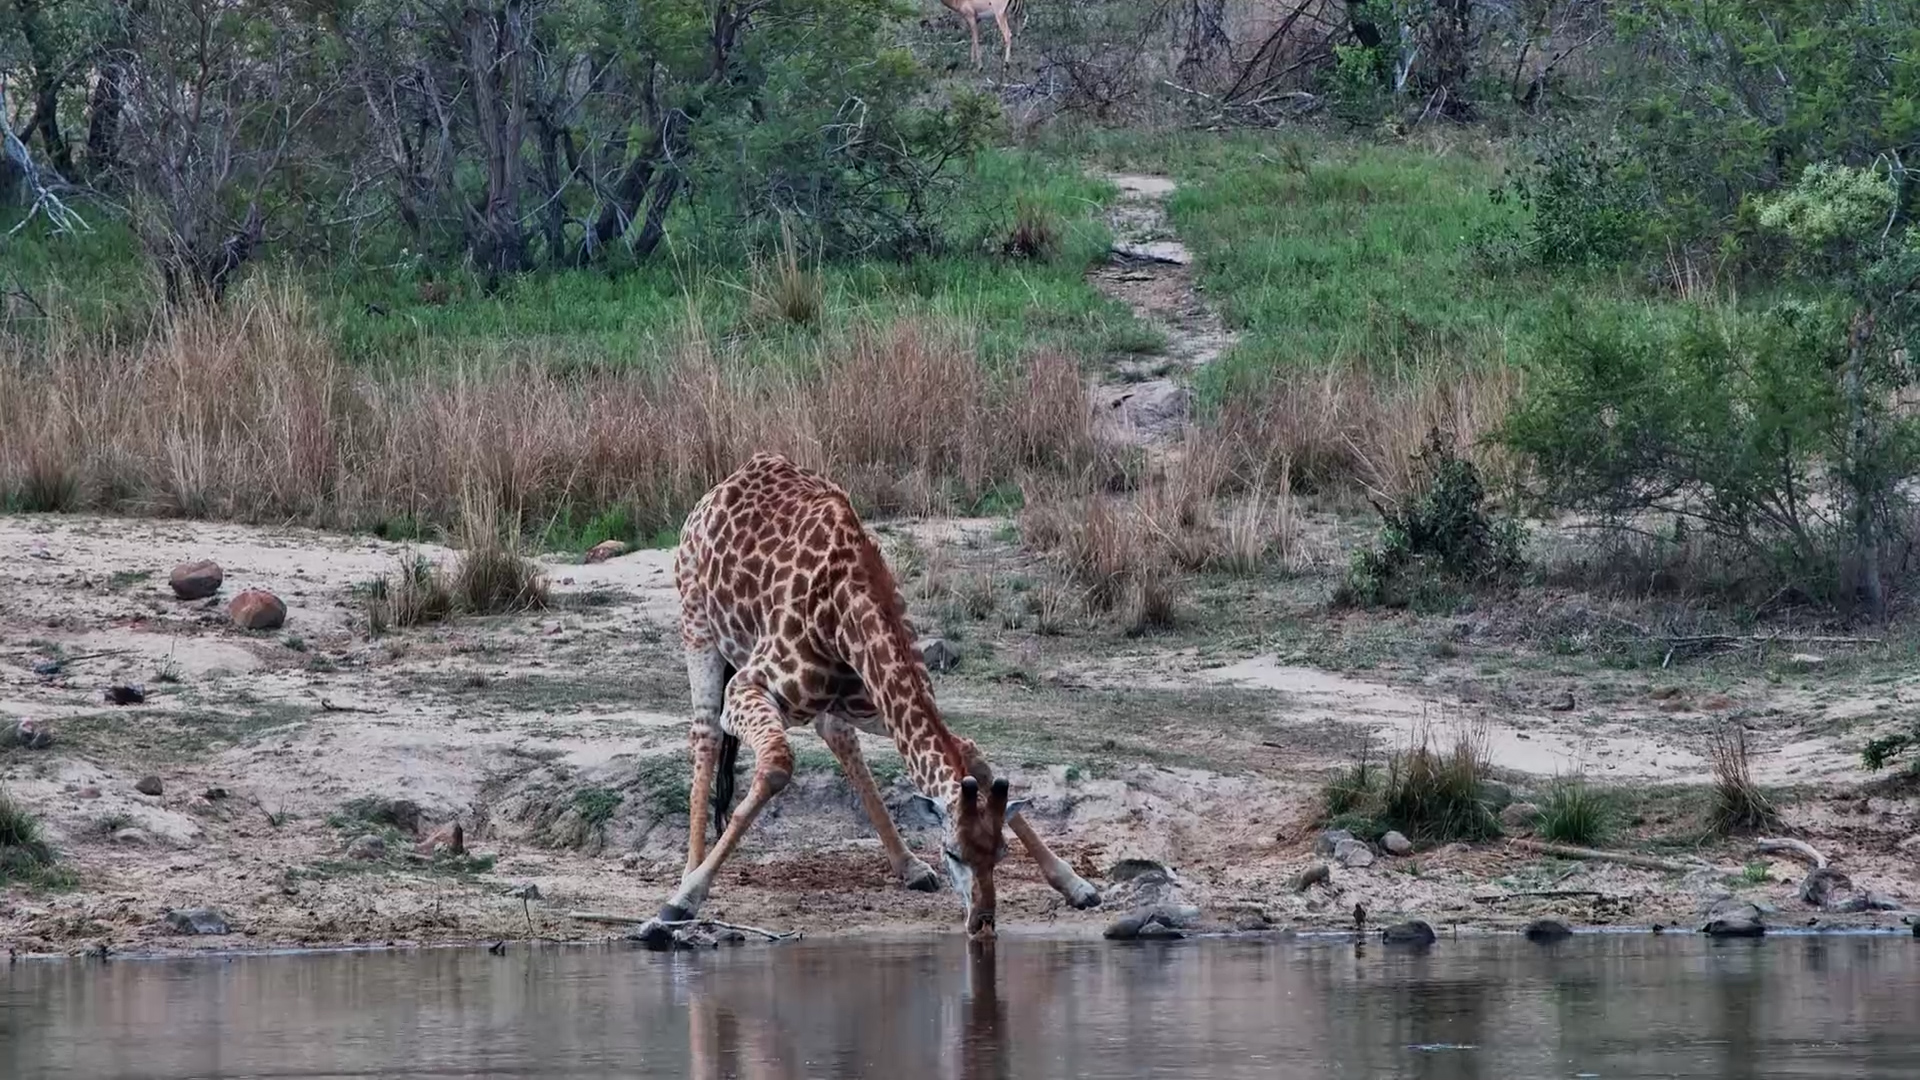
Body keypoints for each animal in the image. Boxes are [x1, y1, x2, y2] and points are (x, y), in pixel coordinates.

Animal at [647, 453, 1100, 944]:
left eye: (1000, 853)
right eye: (952, 852)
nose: (982, 923)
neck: (848, 611)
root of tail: (722, 485)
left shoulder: (880, 698)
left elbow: (968, 749)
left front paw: (1076, 884)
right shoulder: (747, 686)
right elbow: (777, 766)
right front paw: (685, 897)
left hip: (845, 702)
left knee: (836, 733)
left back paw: (910, 867)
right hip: (696, 623)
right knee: (706, 731)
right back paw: (687, 875)